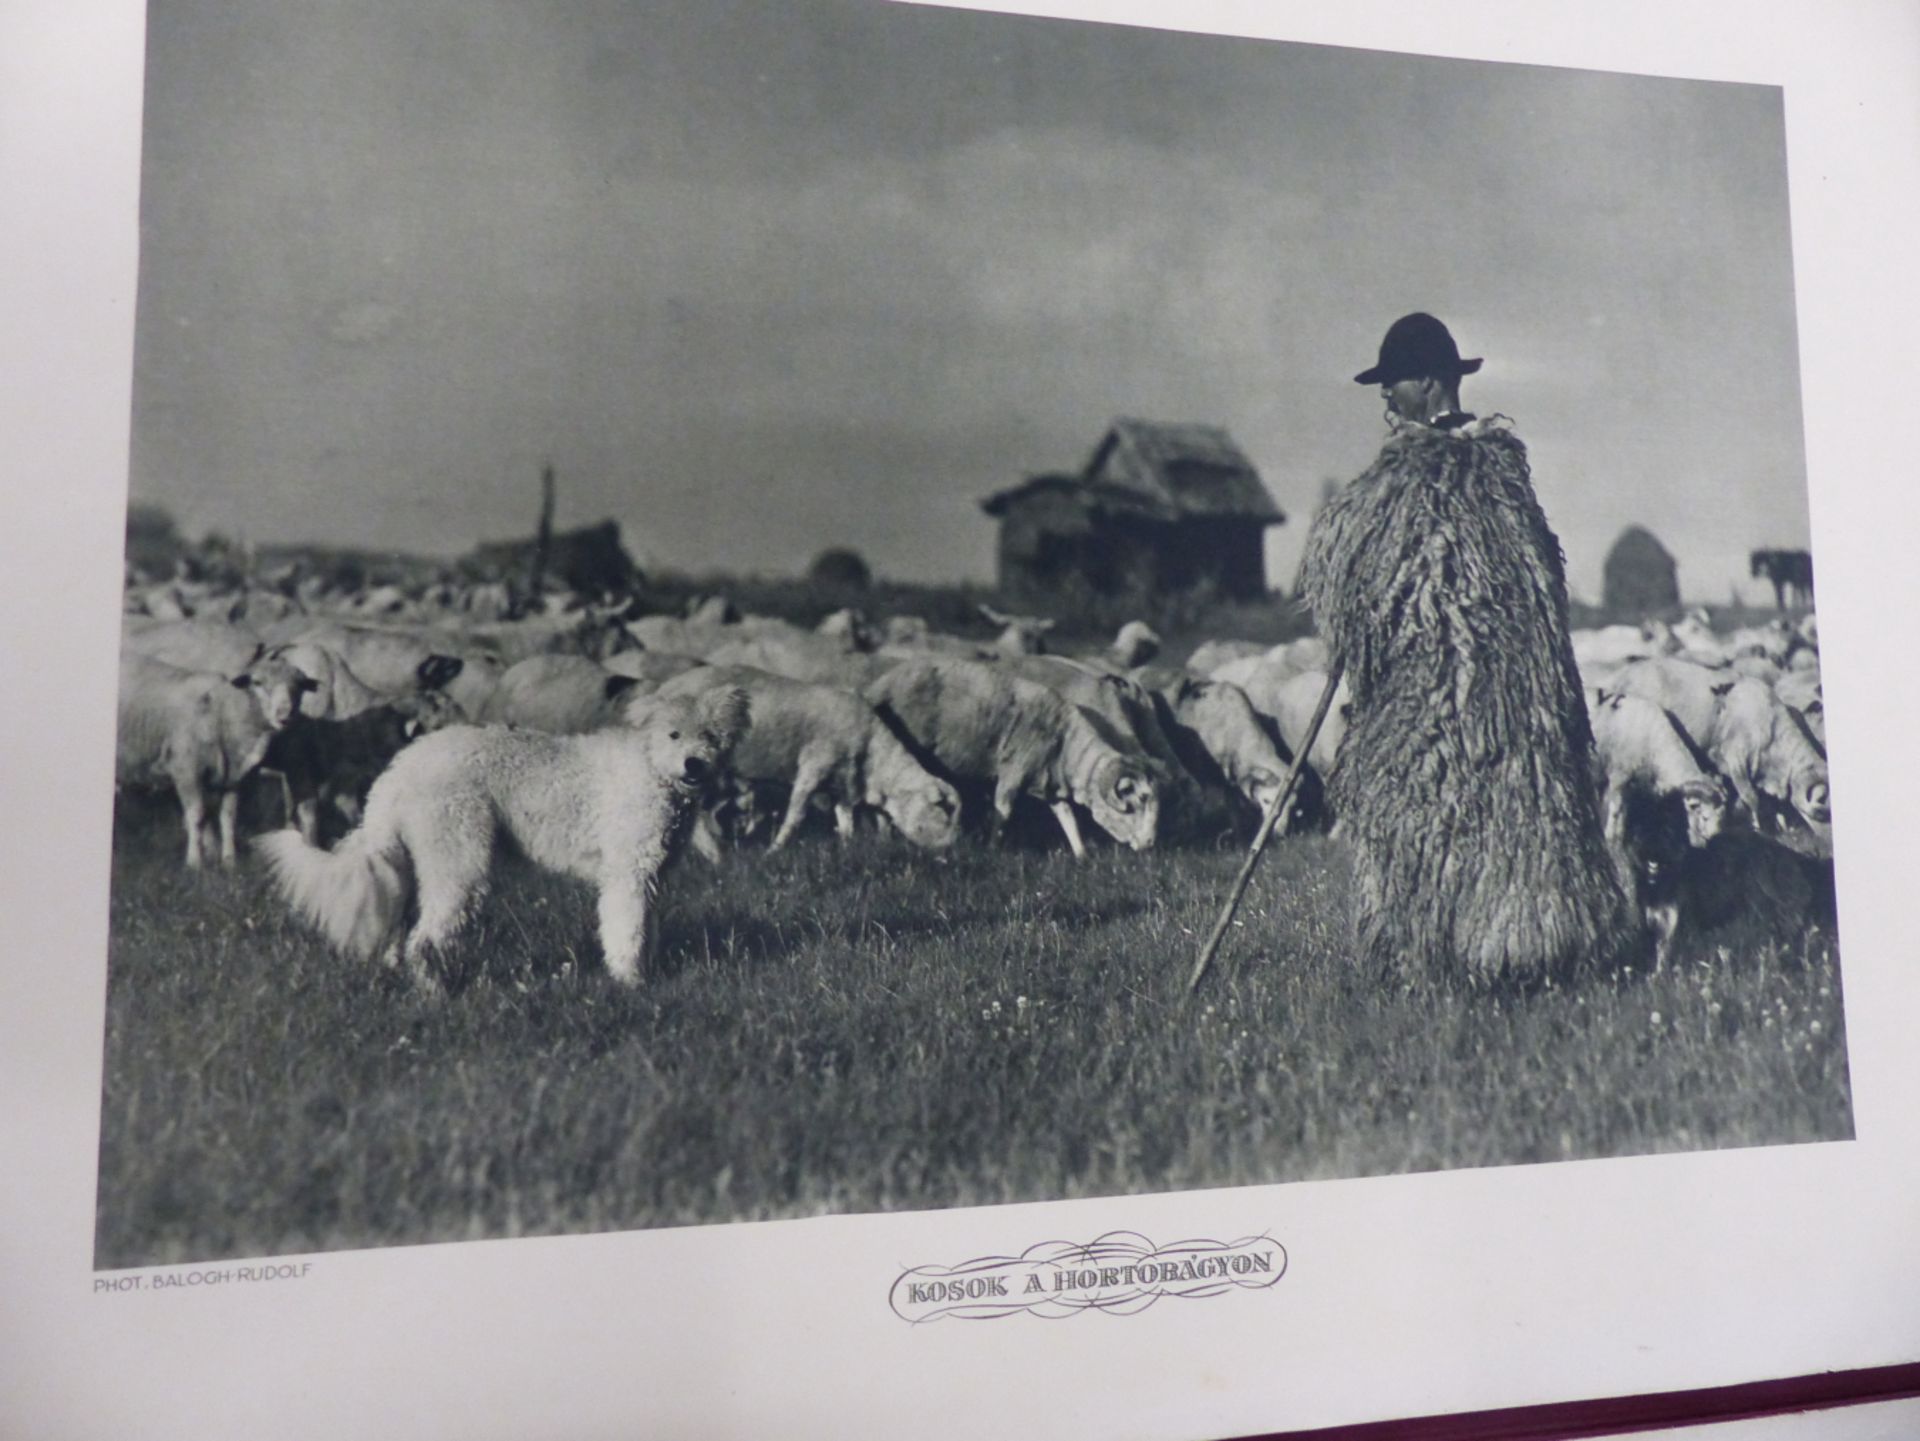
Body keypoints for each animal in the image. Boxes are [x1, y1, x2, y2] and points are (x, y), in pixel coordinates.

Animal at [261, 686, 748, 990]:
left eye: (711, 736)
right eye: (673, 734)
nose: (693, 764)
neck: (650, 767)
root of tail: (397, 773)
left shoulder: (651, 877)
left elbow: (645, 929)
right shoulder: (626, 875)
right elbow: (625, 931)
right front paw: (631, 983)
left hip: (419, 862)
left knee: (401, 929)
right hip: (459, 859)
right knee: (426, 939)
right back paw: (435, 995)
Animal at [867, 656, 1152, 855]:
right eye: (1137, 801)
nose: (1149, 844)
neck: (1066, 746)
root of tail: (879, 684)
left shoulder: (1050, 785)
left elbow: (1068, 817)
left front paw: (1081, 854)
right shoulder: (1013, 773)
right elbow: (1002, 811)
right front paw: (993, 849)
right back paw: (884, 836)